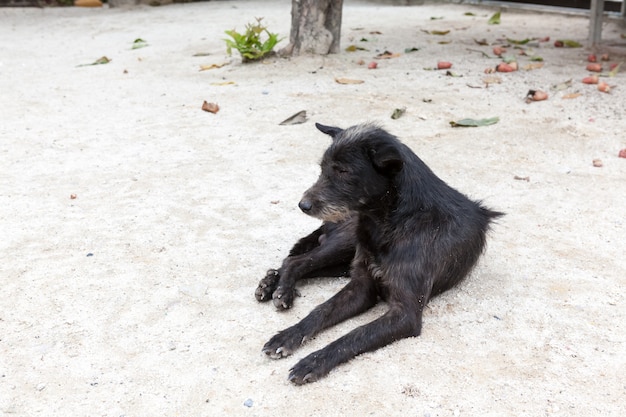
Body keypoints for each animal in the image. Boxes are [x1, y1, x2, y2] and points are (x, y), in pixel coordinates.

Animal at [256, 122, 500, 384]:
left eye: (343, 171)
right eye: (322, 169)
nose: (303, 205)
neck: (397, 220)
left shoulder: (404, 314)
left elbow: (355, 334)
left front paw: (315, 361)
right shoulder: (362, 286)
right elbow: (321, 310)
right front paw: (288, 335)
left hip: (343, 259)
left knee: (299, 261)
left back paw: (273, 284)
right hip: (346, 242)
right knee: (296, 260)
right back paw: (278, 288)